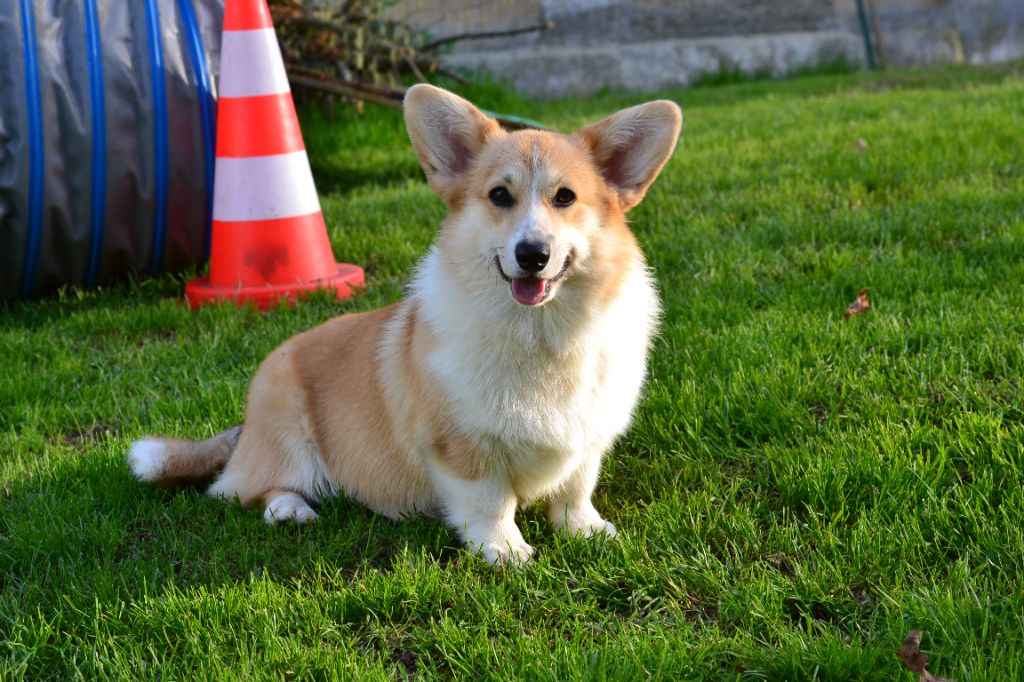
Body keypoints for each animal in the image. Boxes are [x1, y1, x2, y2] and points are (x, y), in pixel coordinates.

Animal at [125, 84, 679, 561]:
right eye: (499, 196)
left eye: (565, 197)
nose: (532, 254)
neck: (541, 333)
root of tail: (244, 428)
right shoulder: (462, 447)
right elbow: (490, 502)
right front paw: (504, 550)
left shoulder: (587, 441)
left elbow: (574, 491)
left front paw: (587, 530)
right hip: (285, 434)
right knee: (251, 490)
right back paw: (290, 509)